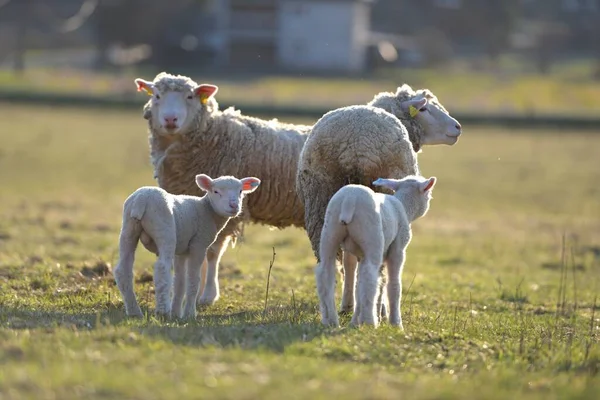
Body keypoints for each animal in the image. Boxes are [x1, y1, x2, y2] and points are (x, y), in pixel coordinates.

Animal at [115, 173, 260, 320]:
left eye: (240, 191)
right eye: (216, 191)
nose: (234, 205)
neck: (207, 210)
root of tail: (141, 199)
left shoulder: (181, 251)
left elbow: (180, 282)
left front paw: (176, 313)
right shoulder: (198, 244)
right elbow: (193, 280)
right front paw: (189, 314)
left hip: (128, 229)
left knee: (123, 270)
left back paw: (134, 312)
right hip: (165, 230)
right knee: (162, 268)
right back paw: (163, 311)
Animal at [314, 175, 436, 328]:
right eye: (428, 194)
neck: (404, 207)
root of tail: (349, 200)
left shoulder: (359, 255)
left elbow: (357, 286)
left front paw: (355, 321)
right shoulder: (398, 249)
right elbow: (394, 286)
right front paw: (396, 324)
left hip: (329, 233)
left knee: (325, 275)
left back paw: (330, 321)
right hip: (372, 239)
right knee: (369, 277)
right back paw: (369, 321)